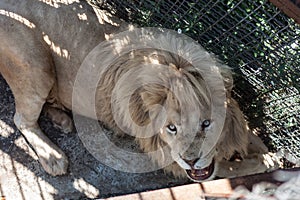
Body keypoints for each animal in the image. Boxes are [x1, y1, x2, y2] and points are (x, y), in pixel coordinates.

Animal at [0, 0, 278, 181]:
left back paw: (62, 120)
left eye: (206, 123)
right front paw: (268, 161)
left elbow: (247, 134)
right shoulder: (170, 158)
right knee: (21, 119)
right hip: (36, 64)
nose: (190, 159)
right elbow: (231, 168)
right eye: (171, 127)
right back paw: (53, 156)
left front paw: (261, 147)